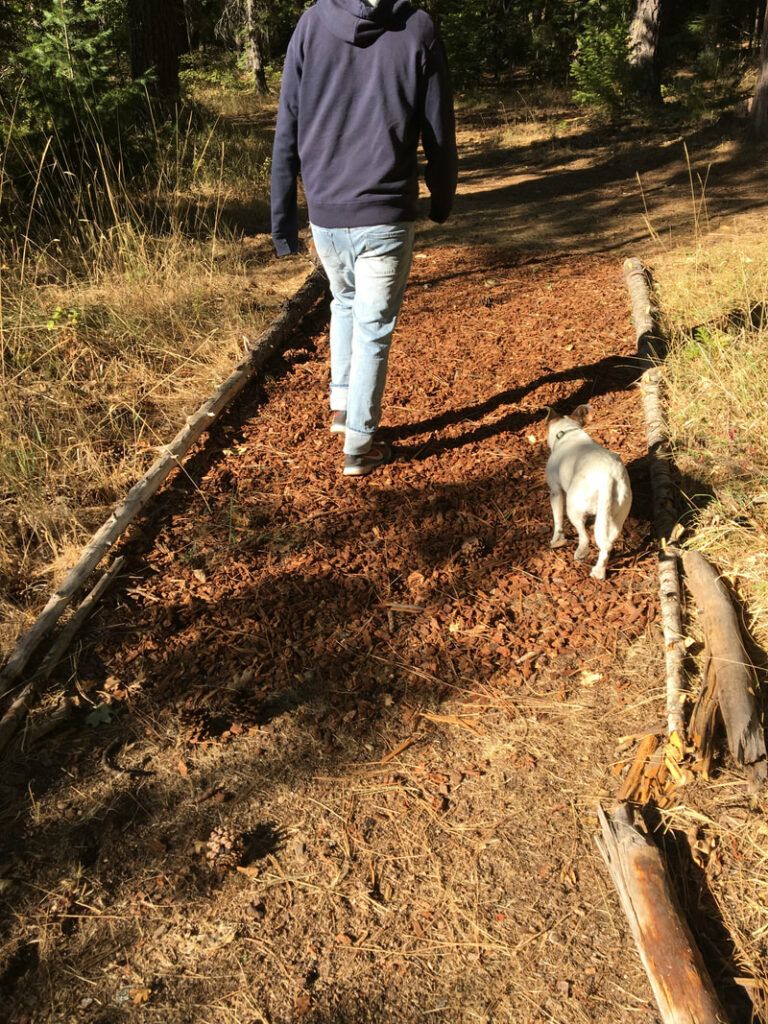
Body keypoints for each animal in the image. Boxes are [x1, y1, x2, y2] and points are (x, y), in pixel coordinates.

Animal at [548, 403, 630, 581]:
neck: (568, 431)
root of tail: (608, 477)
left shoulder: (555, 491)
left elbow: (557, 520)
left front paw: (557, 540)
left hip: (573, 507)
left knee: (583, 536)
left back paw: (581, 553)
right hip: (617, 513)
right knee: (606, 545)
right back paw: (598, 572)